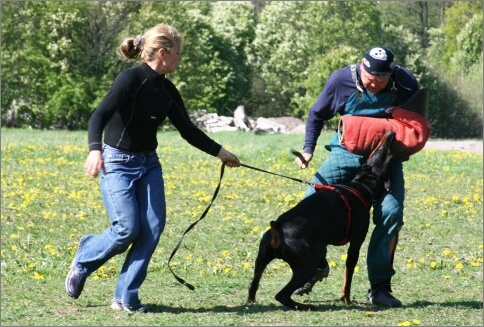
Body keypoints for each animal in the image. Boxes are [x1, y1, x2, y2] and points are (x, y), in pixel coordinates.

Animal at [248, 130, 396, 310]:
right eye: (384, 152)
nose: (391, 132)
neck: (363, 186)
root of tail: (279, 229)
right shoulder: (355, 244)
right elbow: (348, 275)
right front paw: (346, 299)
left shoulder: (320, 240)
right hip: (305, 266)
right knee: (281, 295)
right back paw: (305, 306)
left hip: (261, 258)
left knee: (253, 285)